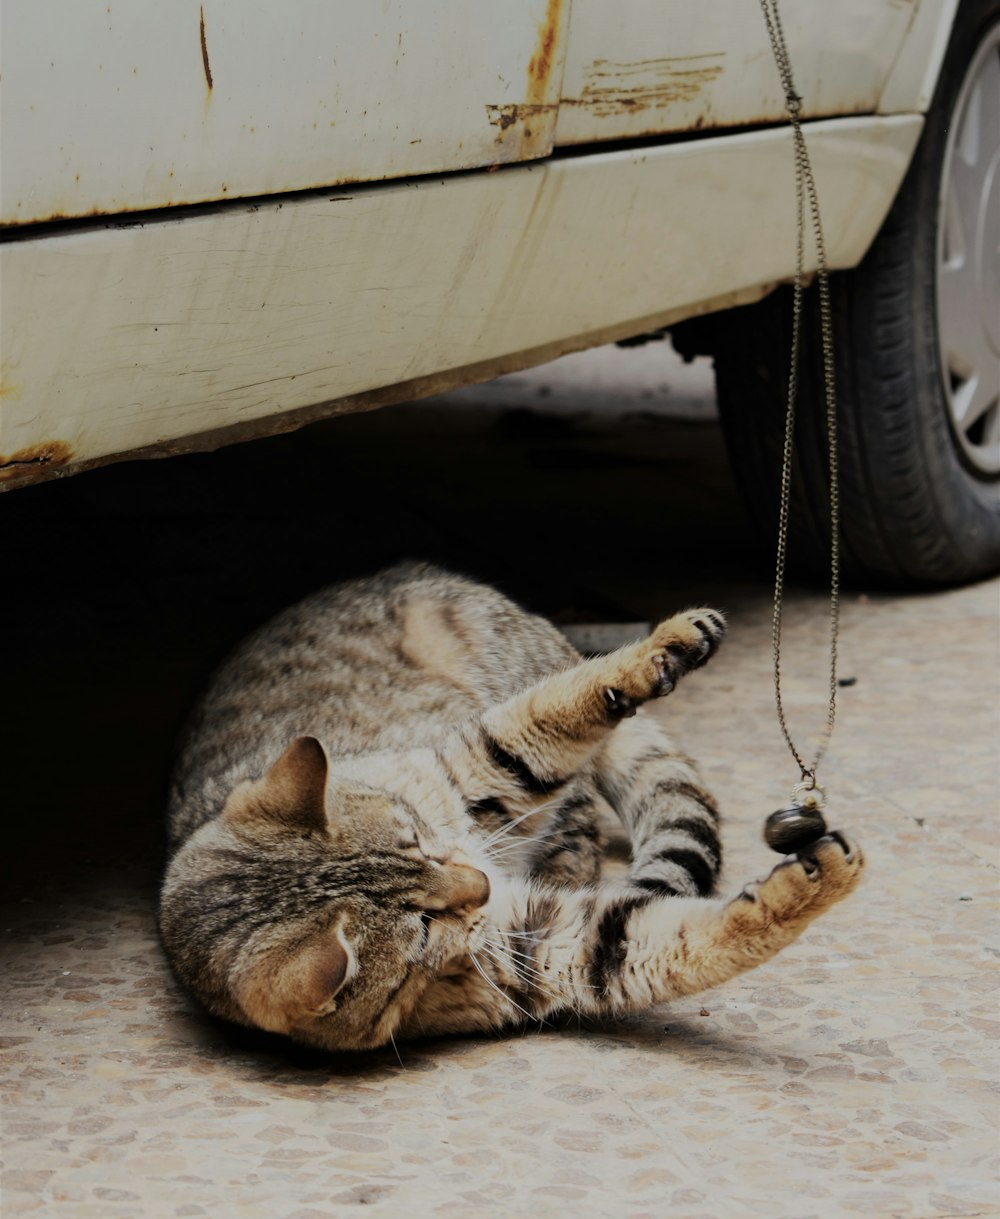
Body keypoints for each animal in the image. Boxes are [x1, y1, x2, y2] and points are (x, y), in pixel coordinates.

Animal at [159, 560, 863, 1048]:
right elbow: (655, 938)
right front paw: (809, 886)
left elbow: (550, 717)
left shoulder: (468, 767)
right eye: (422, 927)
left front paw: (659, 650)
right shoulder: (535, 949)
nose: (480, 884)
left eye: (417, 837)